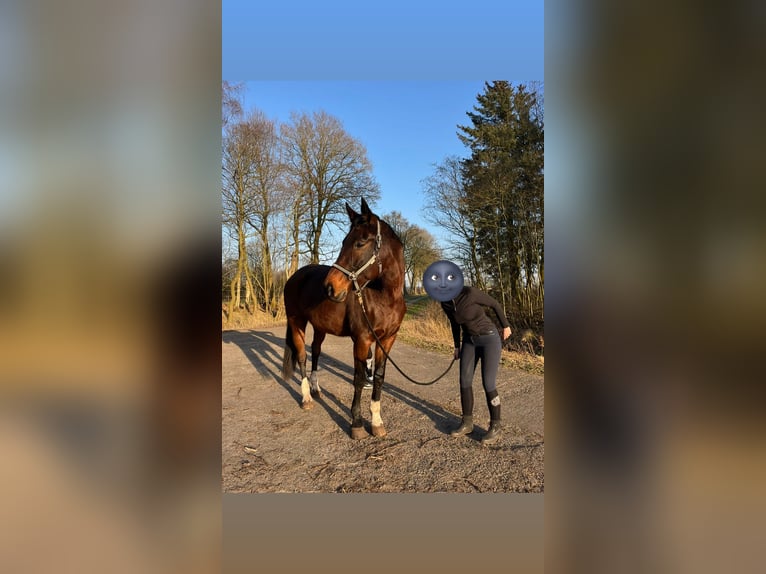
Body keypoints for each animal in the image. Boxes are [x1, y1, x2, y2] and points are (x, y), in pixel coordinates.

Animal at [282, 198, 406, 439]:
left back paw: (316, 389)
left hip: (319, 327)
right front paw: (356, 423)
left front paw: (376, 422)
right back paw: (306, 398)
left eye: (360, 243)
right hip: (296, 322)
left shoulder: (387, 340)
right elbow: (358, 378)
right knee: (302, 356)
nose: (330, 287)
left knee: (316, 352)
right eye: (343, 241)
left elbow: (378, 376)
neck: (384, 298)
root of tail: (295, 276)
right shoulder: (362, 340)